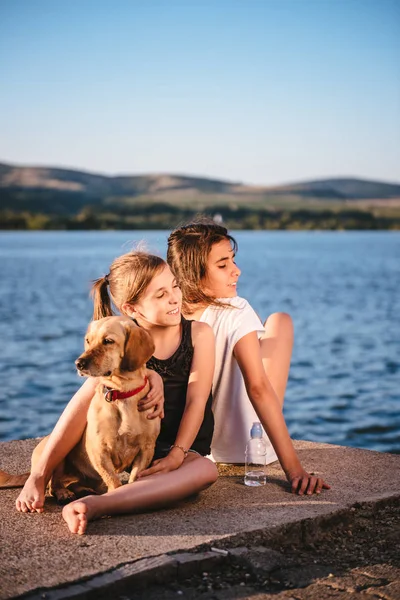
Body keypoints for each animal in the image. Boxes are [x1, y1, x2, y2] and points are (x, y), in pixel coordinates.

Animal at [1, 316, 161, 504]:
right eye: (88, 341)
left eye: (108, 341)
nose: (78, 363)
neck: (121, 393)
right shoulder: (99, 451)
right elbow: (113, 481)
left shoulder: (146, 450)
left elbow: (134, 478)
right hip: (59, 456)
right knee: (53, 485)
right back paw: (64, 493)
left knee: (74, 483)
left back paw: (82, 489)